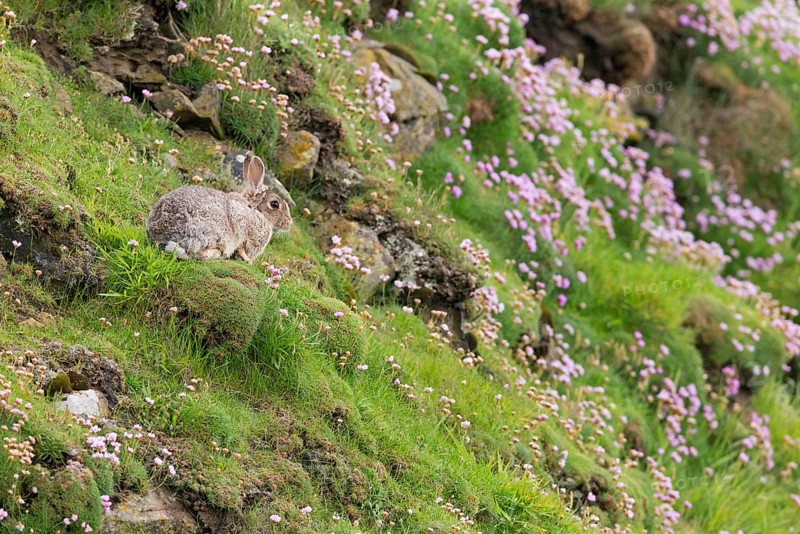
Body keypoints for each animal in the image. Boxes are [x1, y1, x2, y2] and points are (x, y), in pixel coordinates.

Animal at [146, 152, 293, 264]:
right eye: (274, 204)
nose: (289, 223)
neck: (255, 211)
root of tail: (160, 236)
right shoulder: (242, 227)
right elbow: (241, 248)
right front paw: (248, 261)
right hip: (211, 232)